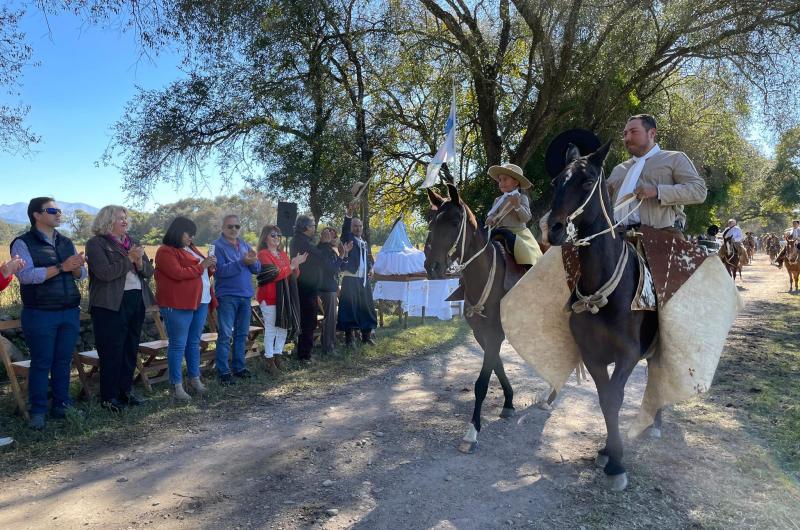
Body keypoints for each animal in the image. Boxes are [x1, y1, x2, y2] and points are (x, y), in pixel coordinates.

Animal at [428, 184, 516, 452]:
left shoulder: (495, 334)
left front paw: (471, 431)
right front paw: (509, 402)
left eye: (455, 221)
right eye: (432, 221)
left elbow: (482, 382)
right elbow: (497, 365)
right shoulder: (482, 334)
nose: (431, 266)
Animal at [548, 141, 660, 490]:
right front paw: (607, 451)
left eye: (586, 182)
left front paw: (617, 463)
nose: (552, 228)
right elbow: (604, 399)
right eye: (556, 181)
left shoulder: (628, 354)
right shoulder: (592, 356)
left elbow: (614, 399)